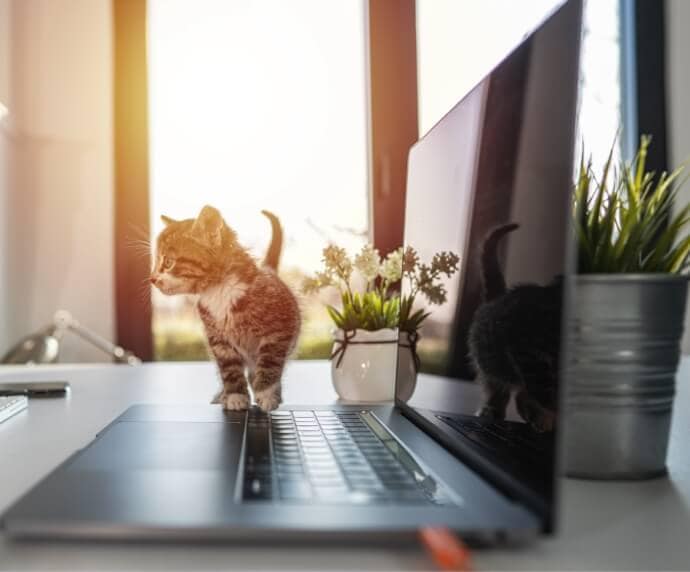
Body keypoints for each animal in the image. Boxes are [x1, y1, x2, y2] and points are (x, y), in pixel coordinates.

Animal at [149, 206, 300, 412]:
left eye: (168, 262)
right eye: (156, 261)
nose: (152, 278)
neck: (219, 291)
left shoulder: (280, 328)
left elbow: (271, 361)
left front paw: (266, 393)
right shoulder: (217, 339)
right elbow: (229, 368)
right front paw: (235, 396)